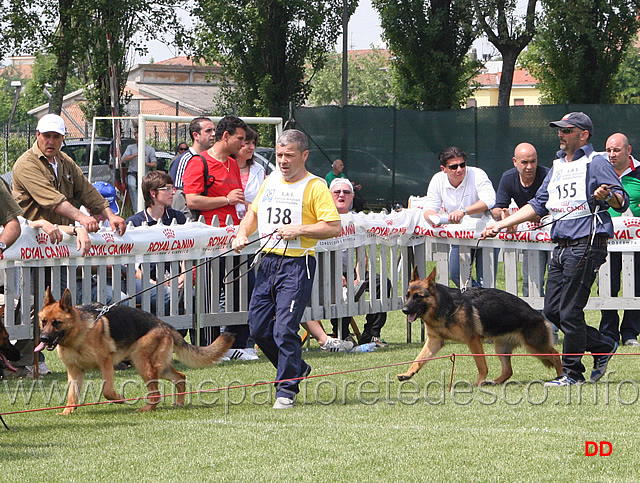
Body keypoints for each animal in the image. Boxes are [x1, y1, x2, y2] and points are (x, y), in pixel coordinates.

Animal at [36, 288, 234, 416]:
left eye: (57, 323)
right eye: (43, 322)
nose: (43, 339)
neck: (79, 334)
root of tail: (165, 325)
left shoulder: (106, 364)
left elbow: (107, 391)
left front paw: (119, 399)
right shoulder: (74, 371)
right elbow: (72, 394)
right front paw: (68, 410)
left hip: (142, 363)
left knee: (156, 393)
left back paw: (146, 409)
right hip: (156, 366)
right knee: (180, 377)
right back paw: (178, 403)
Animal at [398, 268, 564, 386]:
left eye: (418, 296)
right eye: (407, 295)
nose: (404, 310)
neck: (444, 307)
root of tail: (538, 314)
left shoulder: (473, 340)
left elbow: (481, 364)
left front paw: (478, 382)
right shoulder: (434, 341)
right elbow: (419, 359)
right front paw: (408, 373)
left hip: (535, 347)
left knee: (556, 355)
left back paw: (561, 376)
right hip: (502, 348)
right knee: (508, 371)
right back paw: (495, 382)